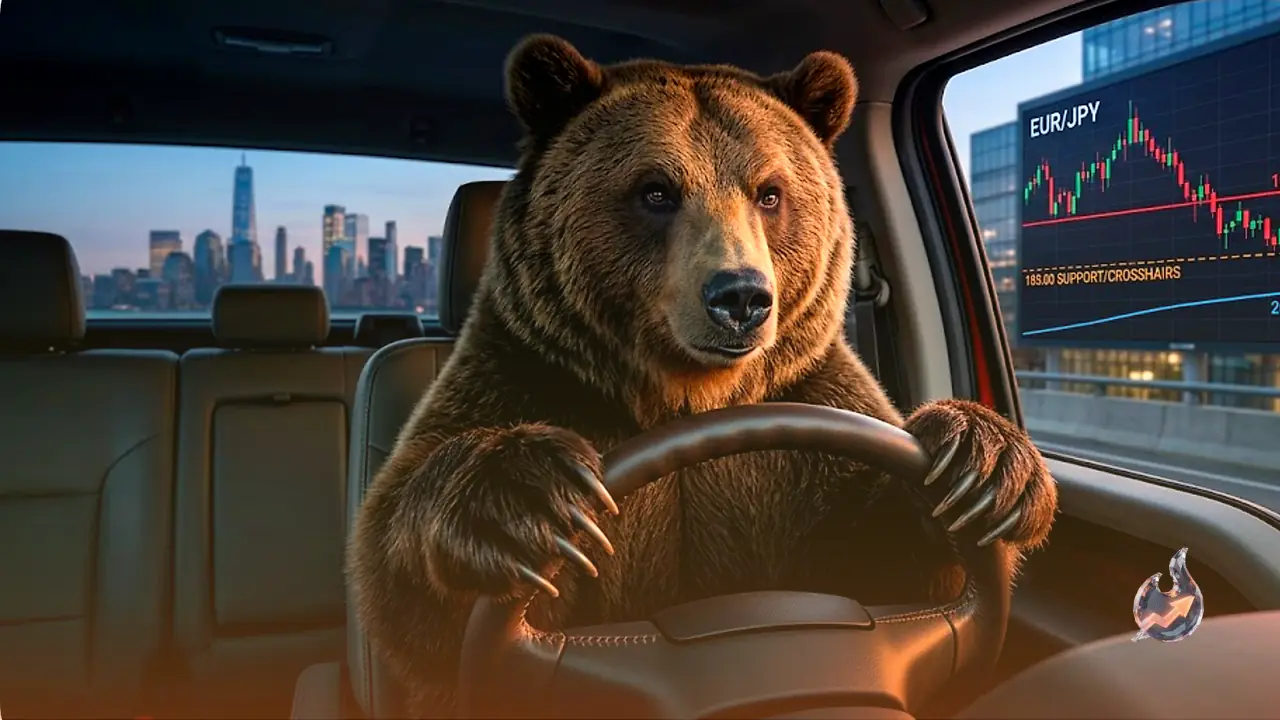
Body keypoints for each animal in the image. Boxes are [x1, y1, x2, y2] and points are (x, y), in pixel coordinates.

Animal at [347, 34, 1058, 717]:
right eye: (656, 190)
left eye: (769, 192)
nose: (740, 296)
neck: (686, 395)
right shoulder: (527, 374)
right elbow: (410, 588)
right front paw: (532, 495)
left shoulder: (810, 417)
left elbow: (880, 558)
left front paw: (982, 465)